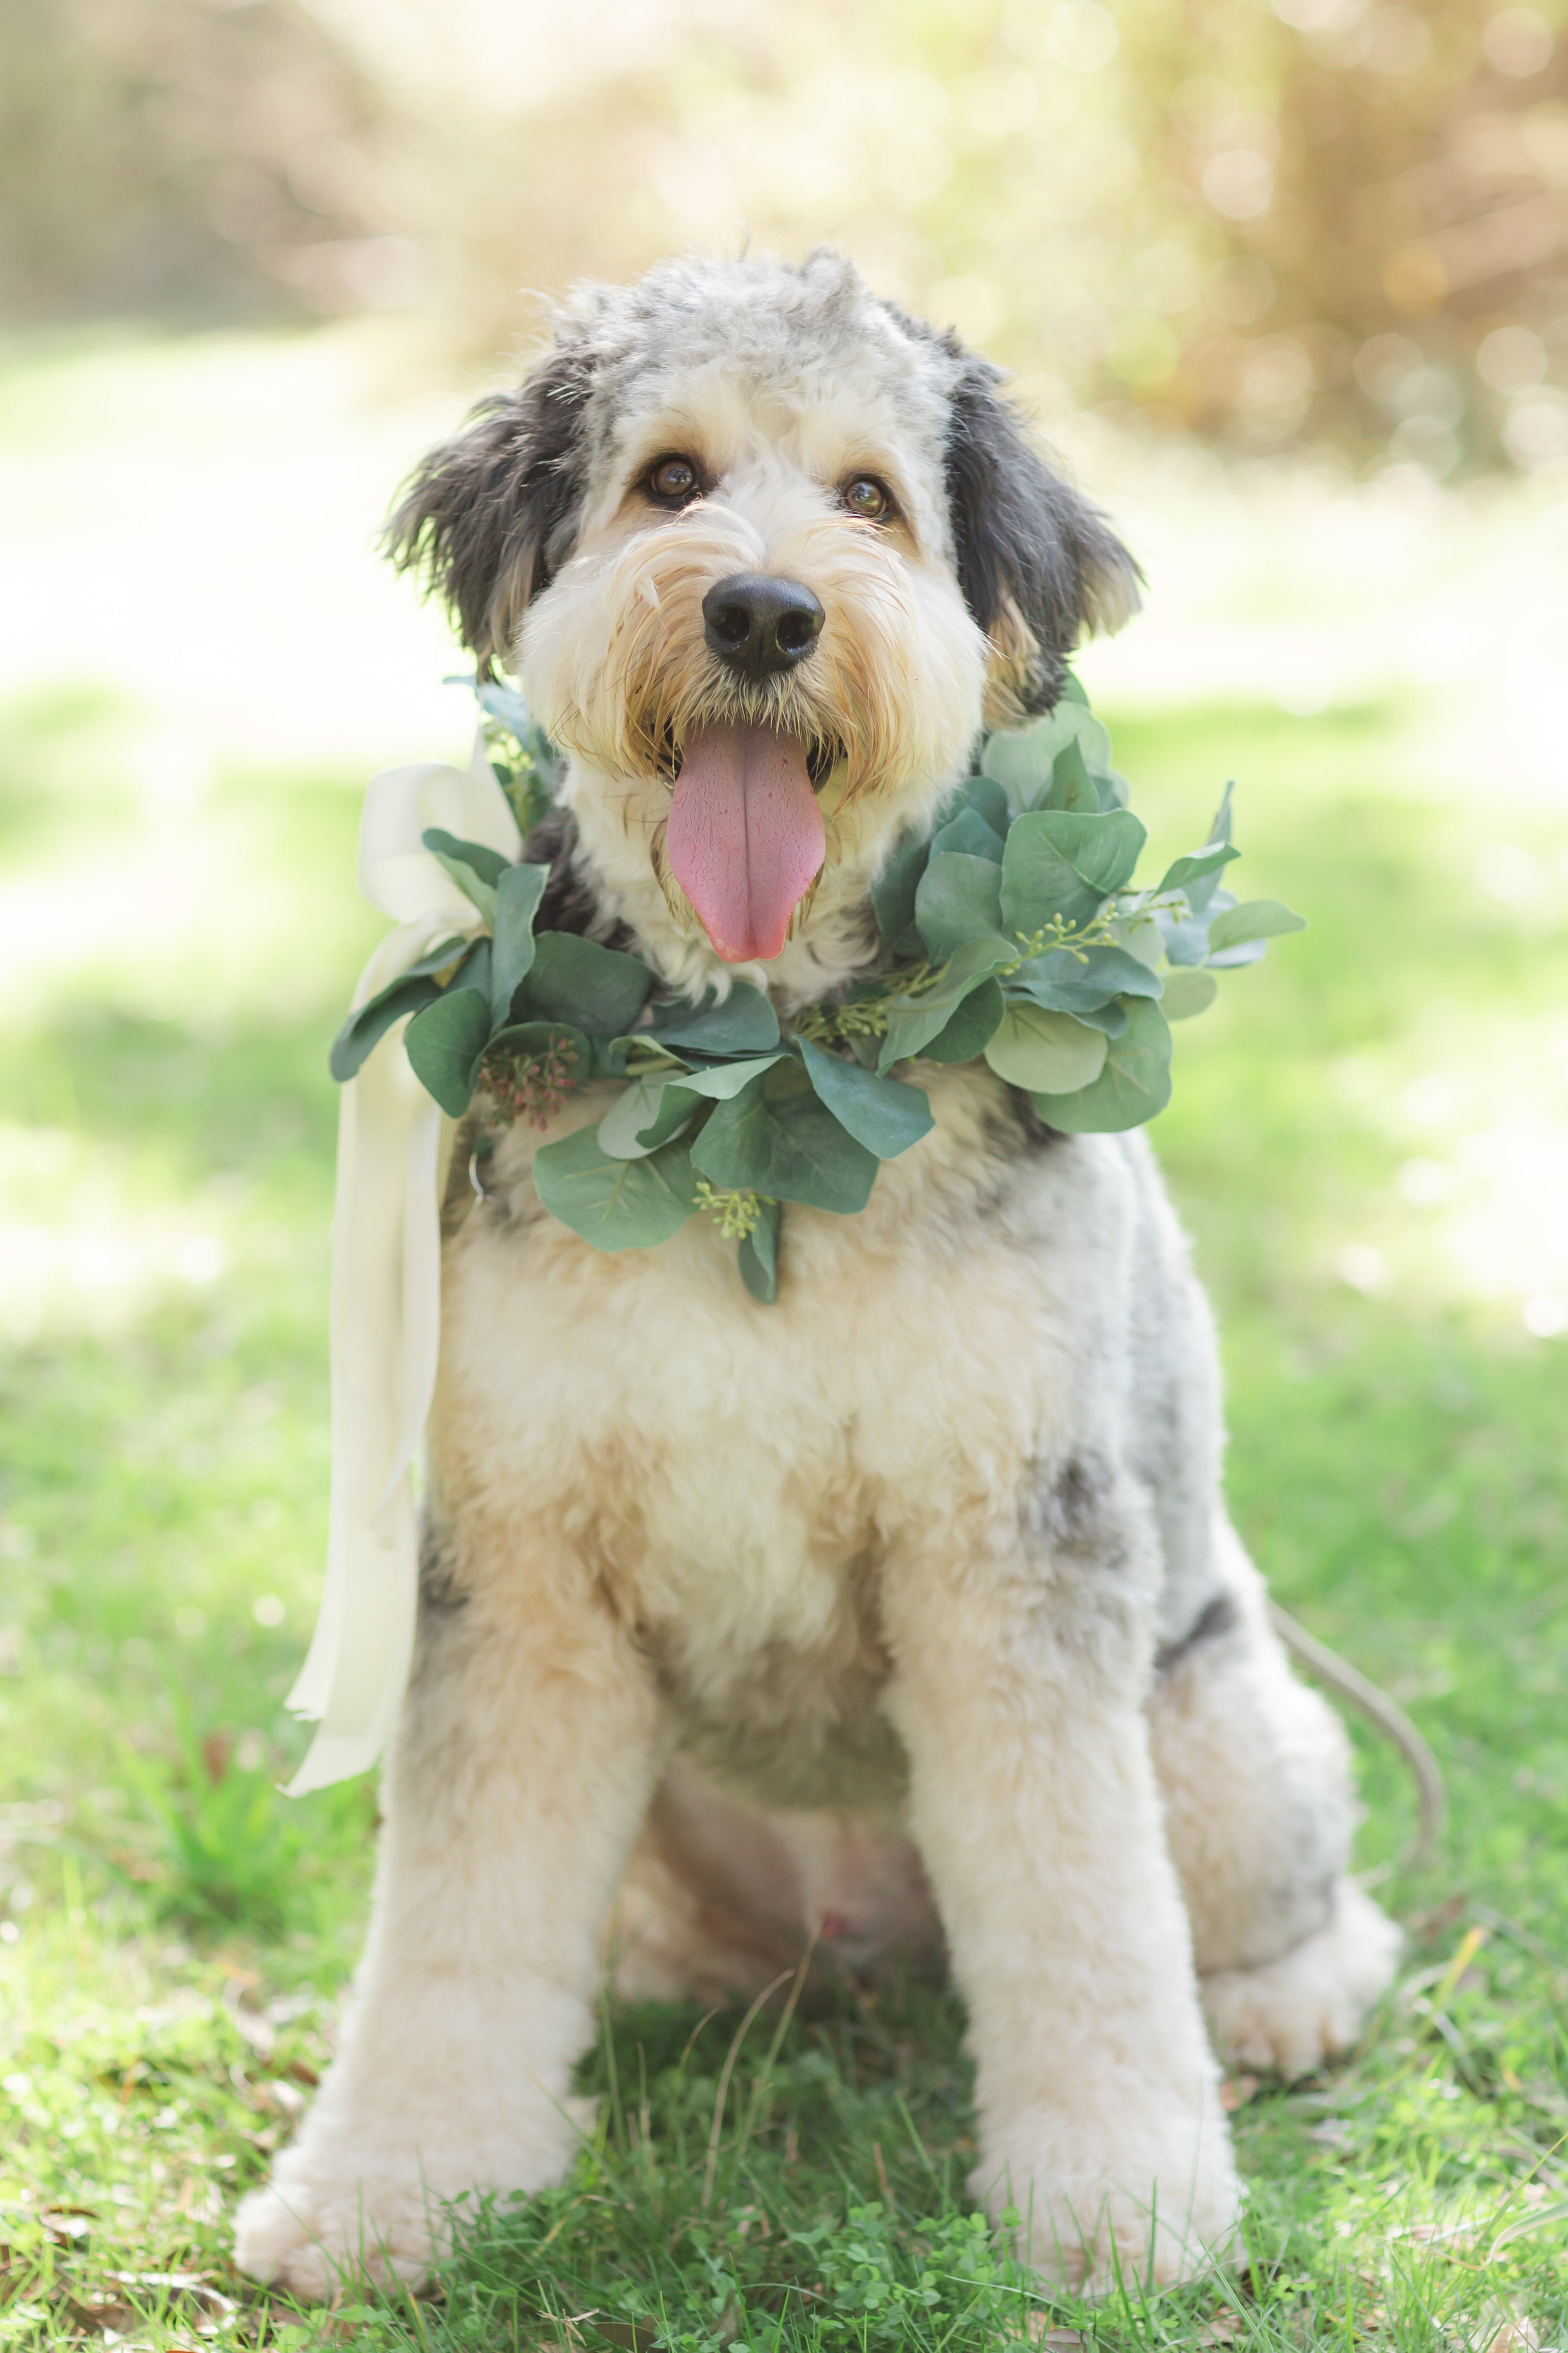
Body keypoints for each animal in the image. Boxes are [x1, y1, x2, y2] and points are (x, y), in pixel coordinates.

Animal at [233, 248, 1401, 2287]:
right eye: (671, 481)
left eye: (869, 497)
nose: (766, 611)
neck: (752, 1085)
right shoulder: (518, 1569)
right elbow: (455, 1919)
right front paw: (393, 2181)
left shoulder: (1012, 1551)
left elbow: (1082, 1912)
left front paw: (1116, 2193)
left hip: (1215, 1730)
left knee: (1313, 1912)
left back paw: (1276, 2003)